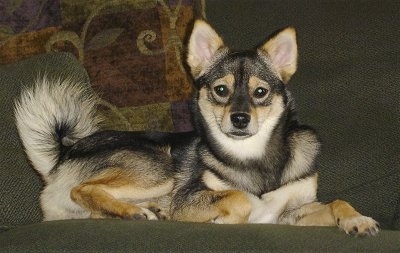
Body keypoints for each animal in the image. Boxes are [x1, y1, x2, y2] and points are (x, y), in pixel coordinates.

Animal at [14, 19, 380, 235]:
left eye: (260, 92)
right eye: (221, 90)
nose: (240, 118)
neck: (253, 156)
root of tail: (62, 155)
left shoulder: (292, 212)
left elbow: (337, 203)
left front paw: (357, 219)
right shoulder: (189, 197)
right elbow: (239, 198)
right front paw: (227, 219)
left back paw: (145, 212)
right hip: (160, 165)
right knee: (83, 189)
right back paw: (136, 212)